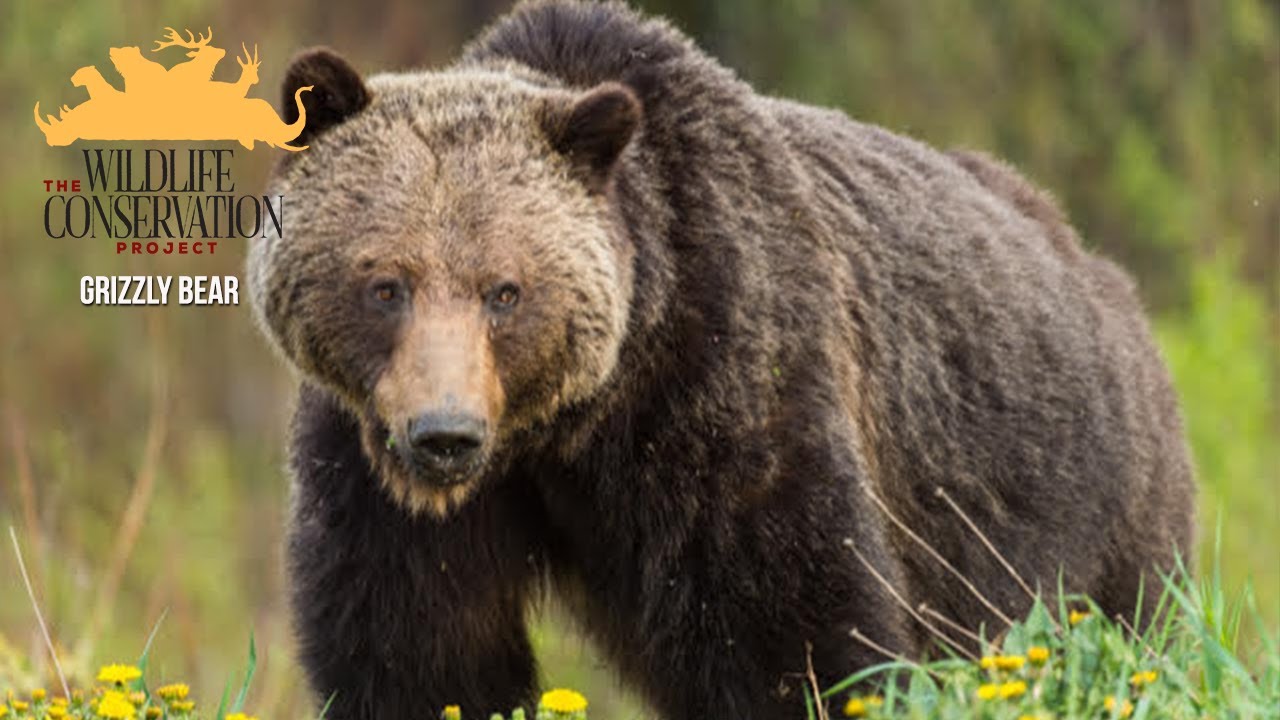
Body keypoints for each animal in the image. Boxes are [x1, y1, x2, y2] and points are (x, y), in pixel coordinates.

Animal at [246, 1, 1196, 718]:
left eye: (504, 291)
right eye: (386, 284)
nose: (445, 434)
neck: (565, 428)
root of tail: (1099, 270)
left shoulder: (724, 390)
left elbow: (793, 626)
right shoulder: (376, 473)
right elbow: (419, 647)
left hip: (1077, 502)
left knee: (1131, 625)